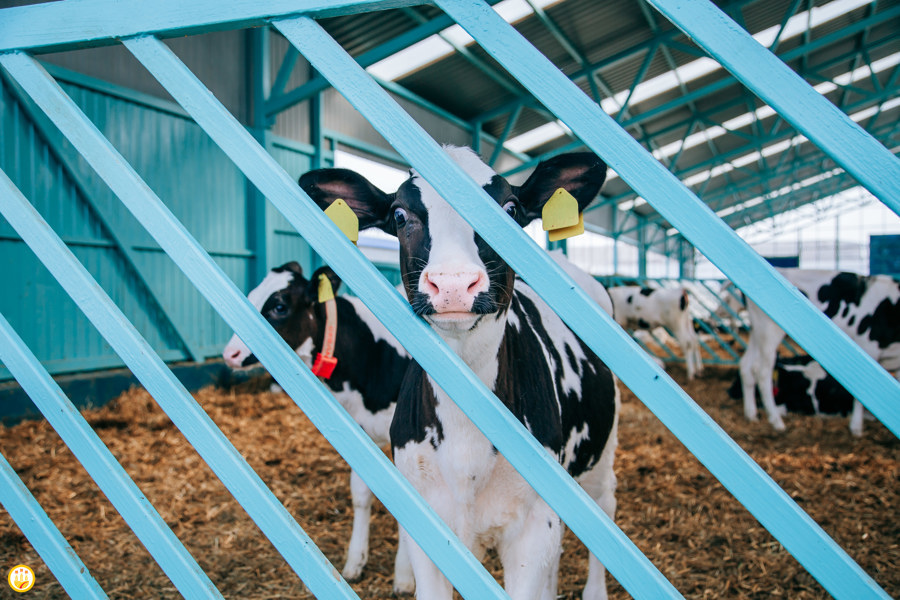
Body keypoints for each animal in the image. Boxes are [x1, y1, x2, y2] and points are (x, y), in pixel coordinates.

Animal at [220, 264, 416, 596]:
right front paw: (355, 561)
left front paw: (404, 577)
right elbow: (361, 493)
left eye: (279, 306)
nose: (230, 354)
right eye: (251, 294)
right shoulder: (360, 431)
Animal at [300, 145, 620, 600]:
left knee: (604, 511)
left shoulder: (533, 525)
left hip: (601, 452)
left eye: (510, 209)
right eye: (399, 215)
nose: (453, 284)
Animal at [740, 270, 900, 434]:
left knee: (746, 366)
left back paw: (751, 414)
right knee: (761, 371)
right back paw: (776, 421)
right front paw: (856, 427)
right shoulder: (868, 345)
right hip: (770, 331)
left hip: (756, 331)